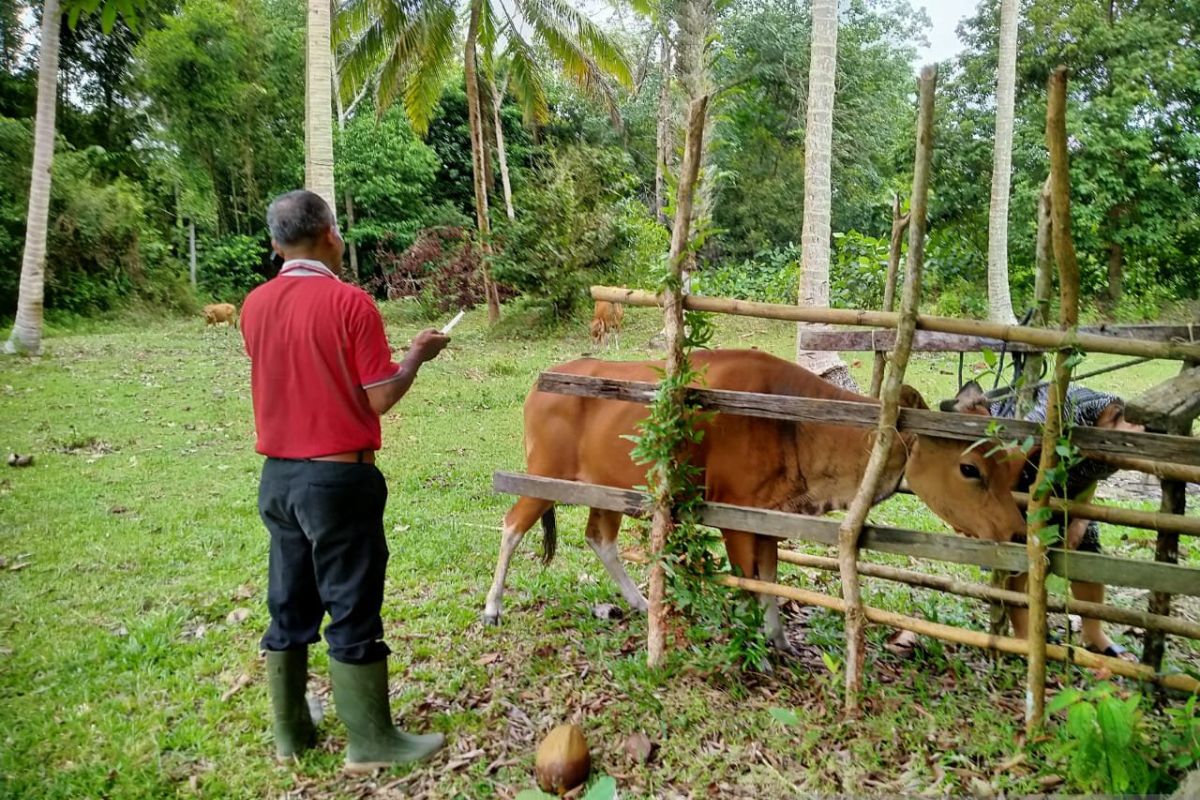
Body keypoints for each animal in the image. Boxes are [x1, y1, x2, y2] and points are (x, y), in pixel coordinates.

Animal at [482, 347, 1027, 652]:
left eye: (1015, 464)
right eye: (970, 468)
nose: (1017, 531)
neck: (796, 426)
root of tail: (540, 383)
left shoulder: (770, 518)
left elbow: (770, 580)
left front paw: (779, 639)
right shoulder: (738, 517)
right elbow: (752, 583)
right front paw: (758, 644)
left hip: (611, 490)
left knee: (599, 537)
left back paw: (640, 602)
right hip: (542, 475)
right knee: (511, 525)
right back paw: (492, 607)